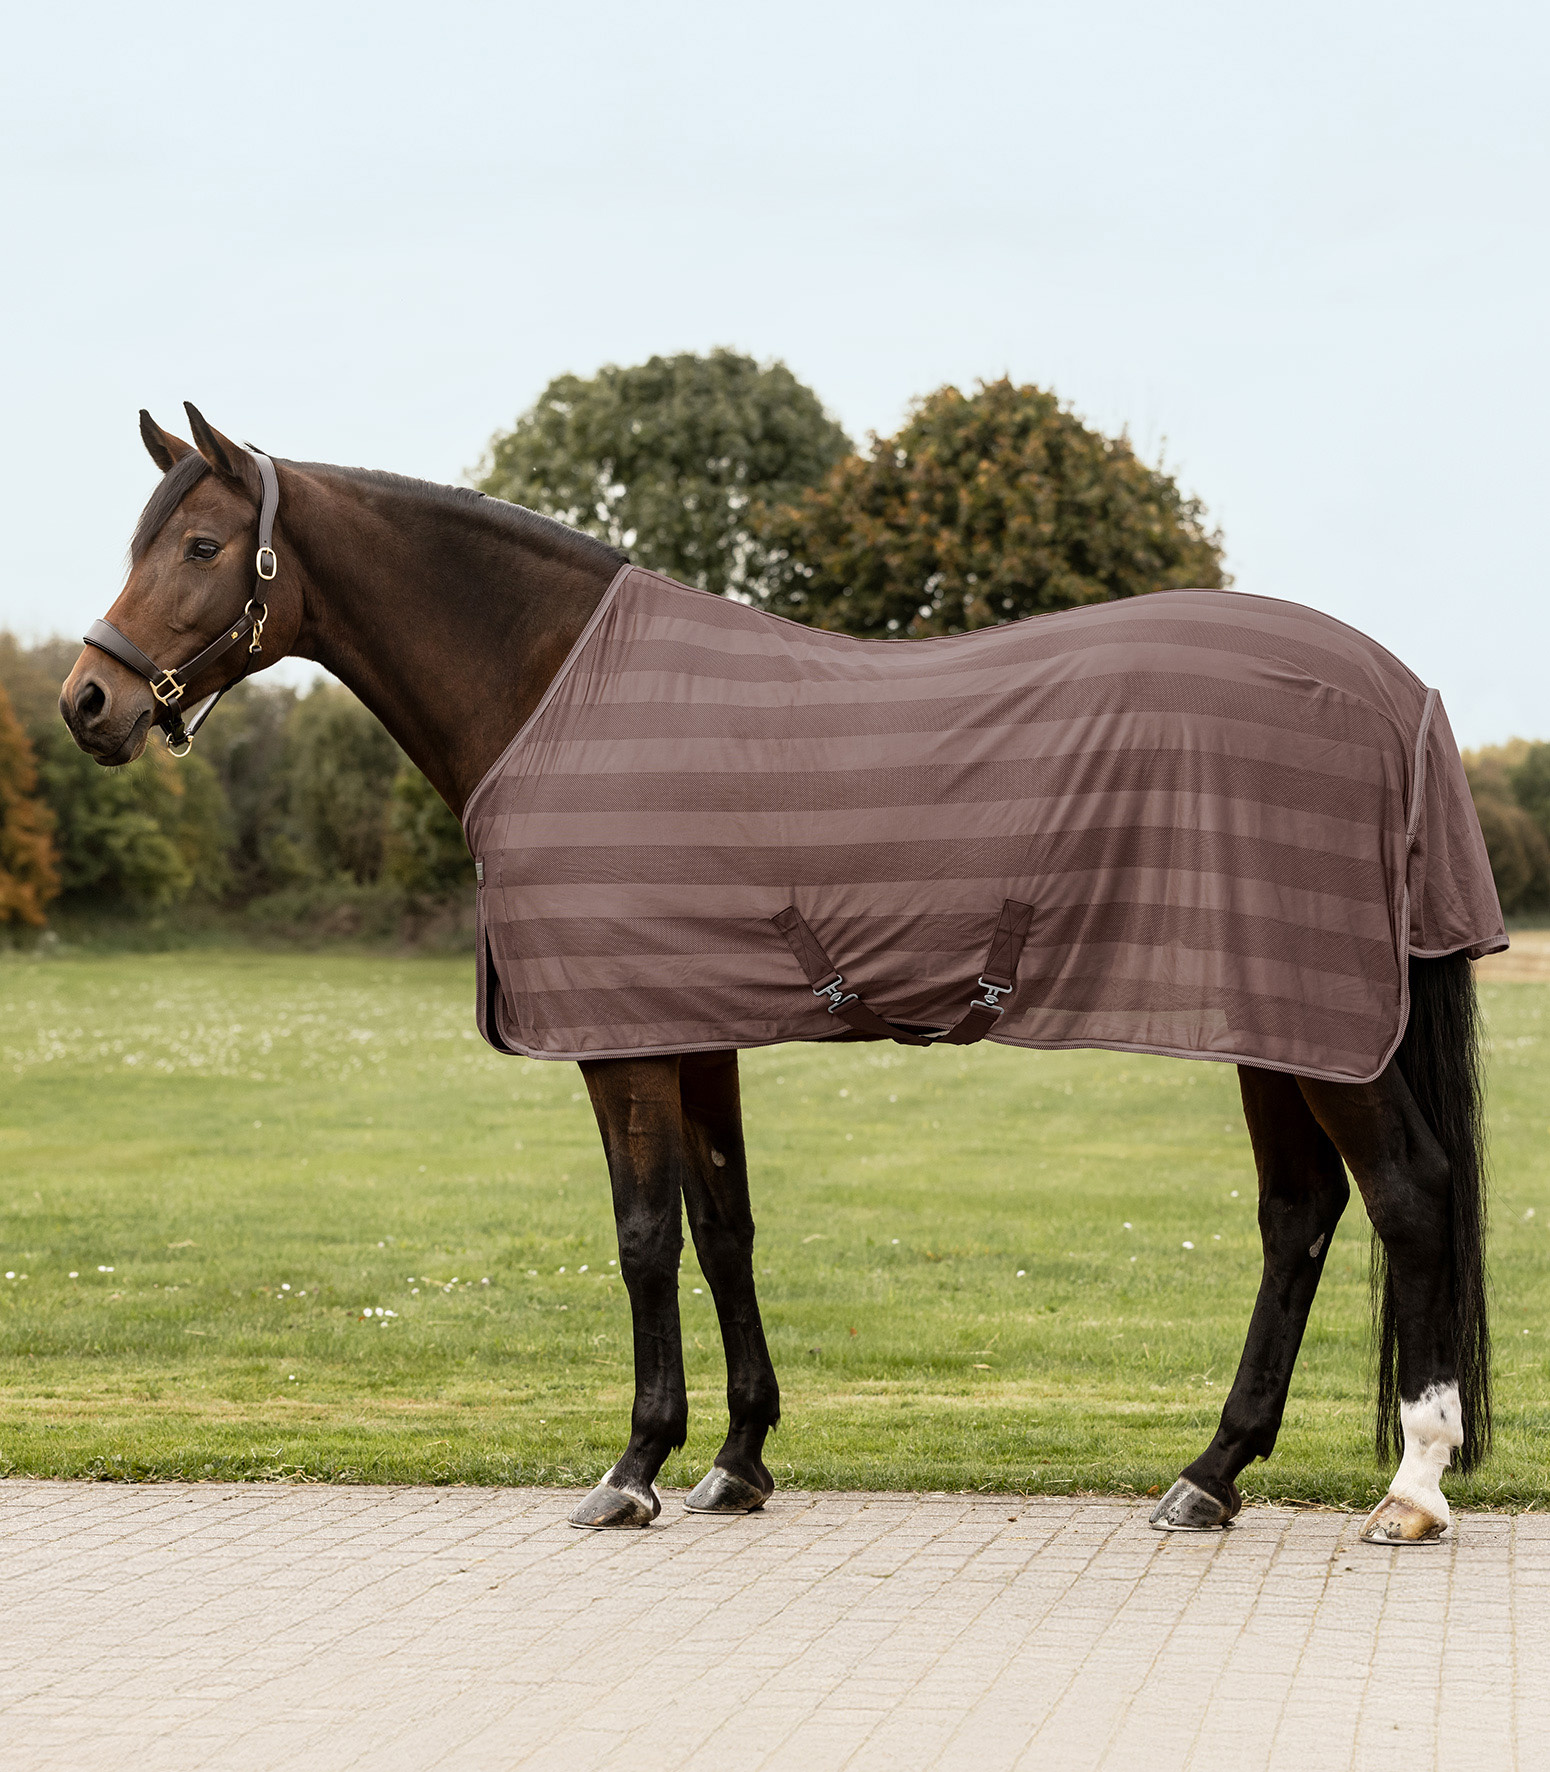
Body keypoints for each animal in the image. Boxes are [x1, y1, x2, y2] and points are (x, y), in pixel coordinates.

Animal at [60, 404, 1500, 1545]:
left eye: (200, 547)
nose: (88, 703)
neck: (560, 691)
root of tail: (1397, 692)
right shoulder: (694, 1025)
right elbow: (723, 1228)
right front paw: (737, 1461)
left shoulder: (623, 1039)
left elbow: (643, 1237)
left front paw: (633, 1465)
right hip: (1276, 1022)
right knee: (1298, 1215)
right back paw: (1209, 1474)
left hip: (1326, 1028)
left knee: (1407, 1193)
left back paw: (1410, 1487)